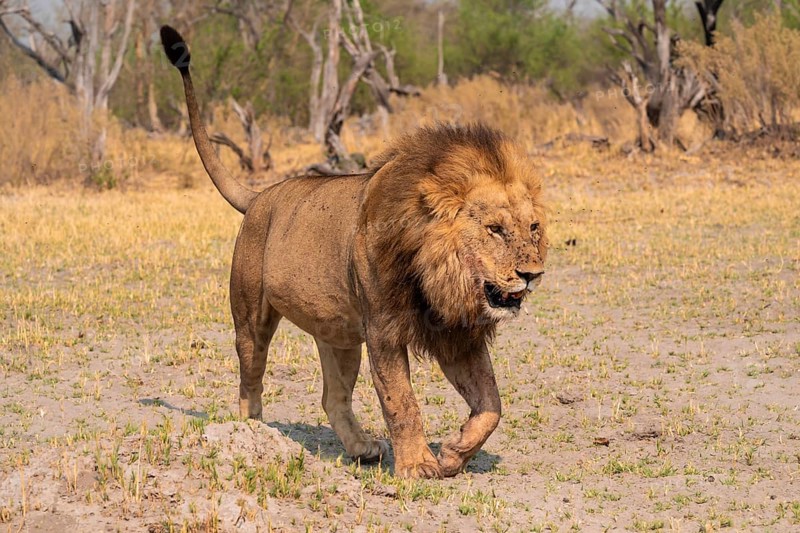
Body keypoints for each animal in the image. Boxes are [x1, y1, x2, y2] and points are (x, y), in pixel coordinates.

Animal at [160, 26, 547, 478]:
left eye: (533, 227)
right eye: (495, 230)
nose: (532, 274)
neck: (439, 276)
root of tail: (258, 196)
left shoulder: (458, 334)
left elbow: (491, 405)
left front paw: (453, 455)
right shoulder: (383, 330)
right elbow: (401, 401)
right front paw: (417, 466)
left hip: (339, 335)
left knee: (333, 397)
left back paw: (362, 448)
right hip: (251, 317)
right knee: (249, 379)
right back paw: (253, 434)